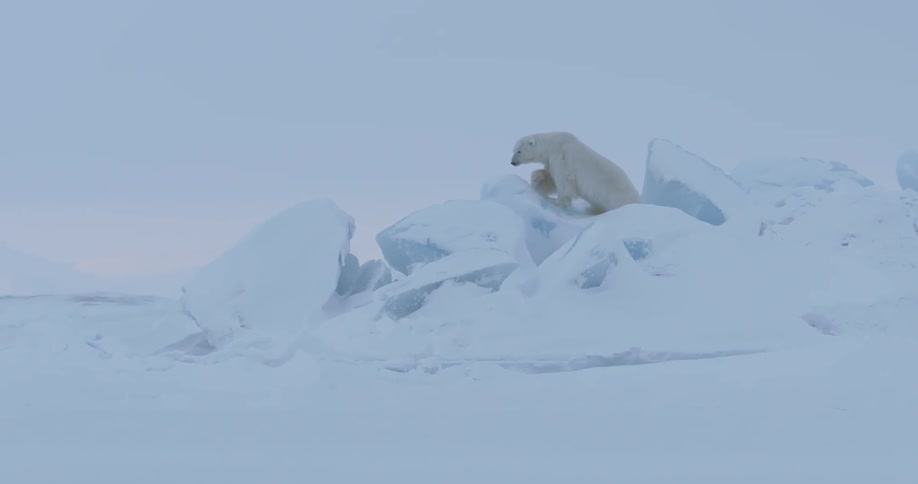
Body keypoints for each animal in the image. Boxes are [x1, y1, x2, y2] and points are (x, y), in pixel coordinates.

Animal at [512, 131, 642, 214]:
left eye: (519, 151)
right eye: (513, 150)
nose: (512, 162)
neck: (553, 144)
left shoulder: (562, 159)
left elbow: (564, 184)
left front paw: (556, 202)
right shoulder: (551, 160)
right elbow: (551, 179)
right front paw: (537, 179)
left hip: (617, 197)